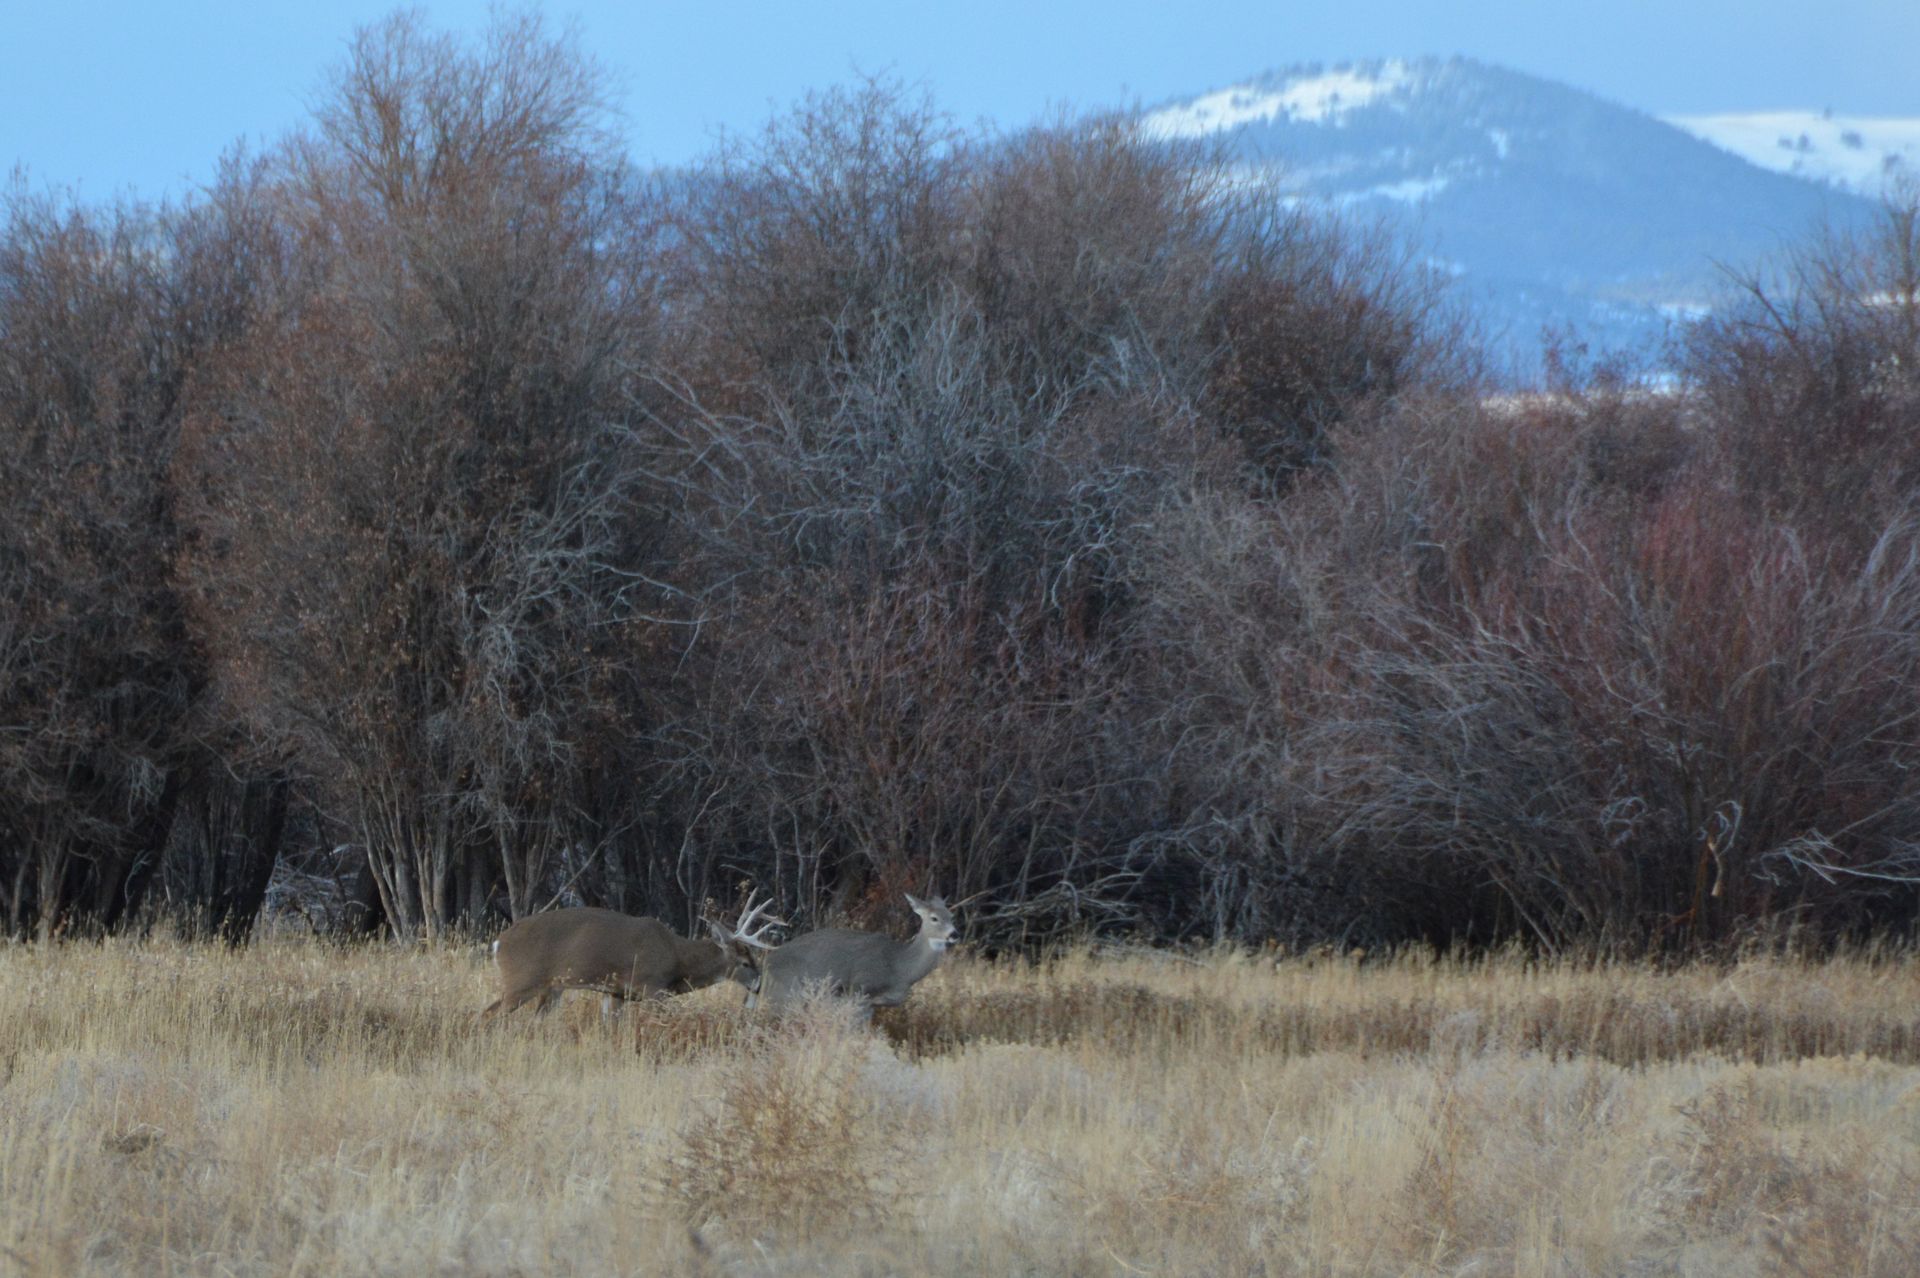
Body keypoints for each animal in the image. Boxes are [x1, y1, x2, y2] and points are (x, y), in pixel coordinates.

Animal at [479, 893, 782, 1022]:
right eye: (745, 963)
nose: (759, 985)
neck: (676, 957)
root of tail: (499, 943)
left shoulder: (616, 992)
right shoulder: (652, 986)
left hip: (551, 989)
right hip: (522, 981)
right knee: (487, 1014)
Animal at [750, 893, 957, 1020]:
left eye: (951, 916)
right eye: (934, 918)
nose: (954, 934)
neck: (899, 967)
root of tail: (766, 963)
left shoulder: (873, 1004)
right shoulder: (860, 991)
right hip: (784, 994)